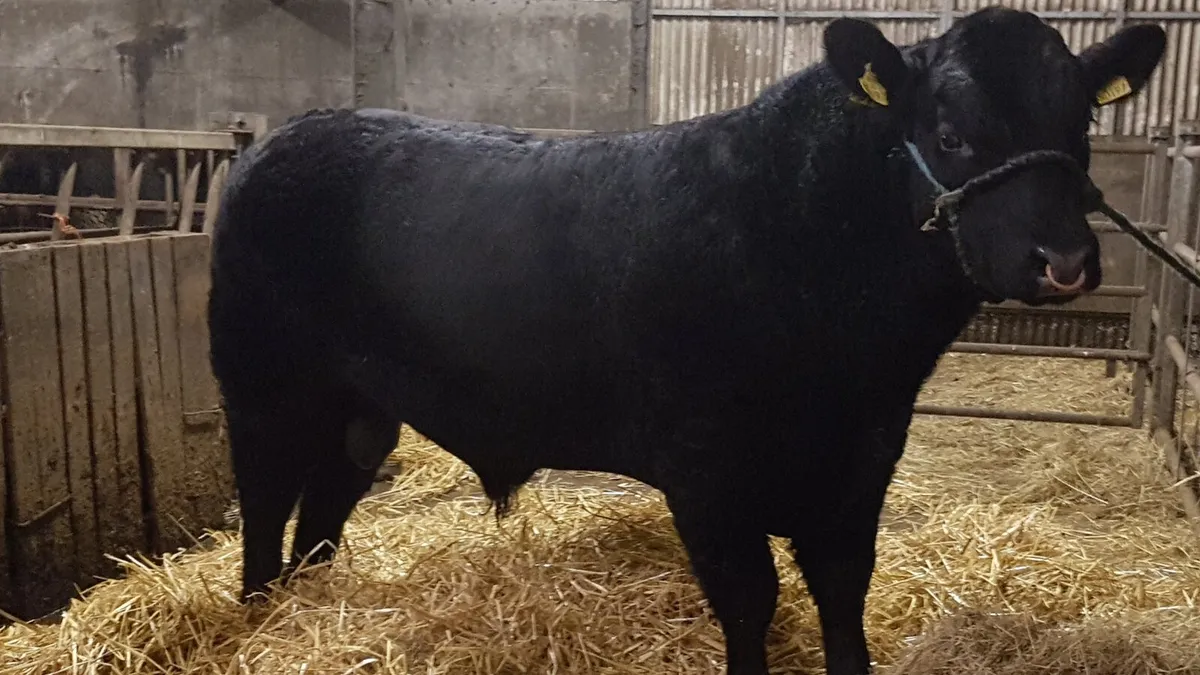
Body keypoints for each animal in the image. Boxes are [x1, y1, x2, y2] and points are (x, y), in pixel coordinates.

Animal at [207, 8, 1166, 675]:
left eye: (1080, 126)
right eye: (951, 133)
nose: (1066, 261)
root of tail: (286, 136)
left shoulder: (862, 461)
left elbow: (842, 593)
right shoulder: (706, 472)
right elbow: (750, 602)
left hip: (361, 406)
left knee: (324, 508)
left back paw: (310, 606)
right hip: (262, 384)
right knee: (265, 499)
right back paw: (259, 614)